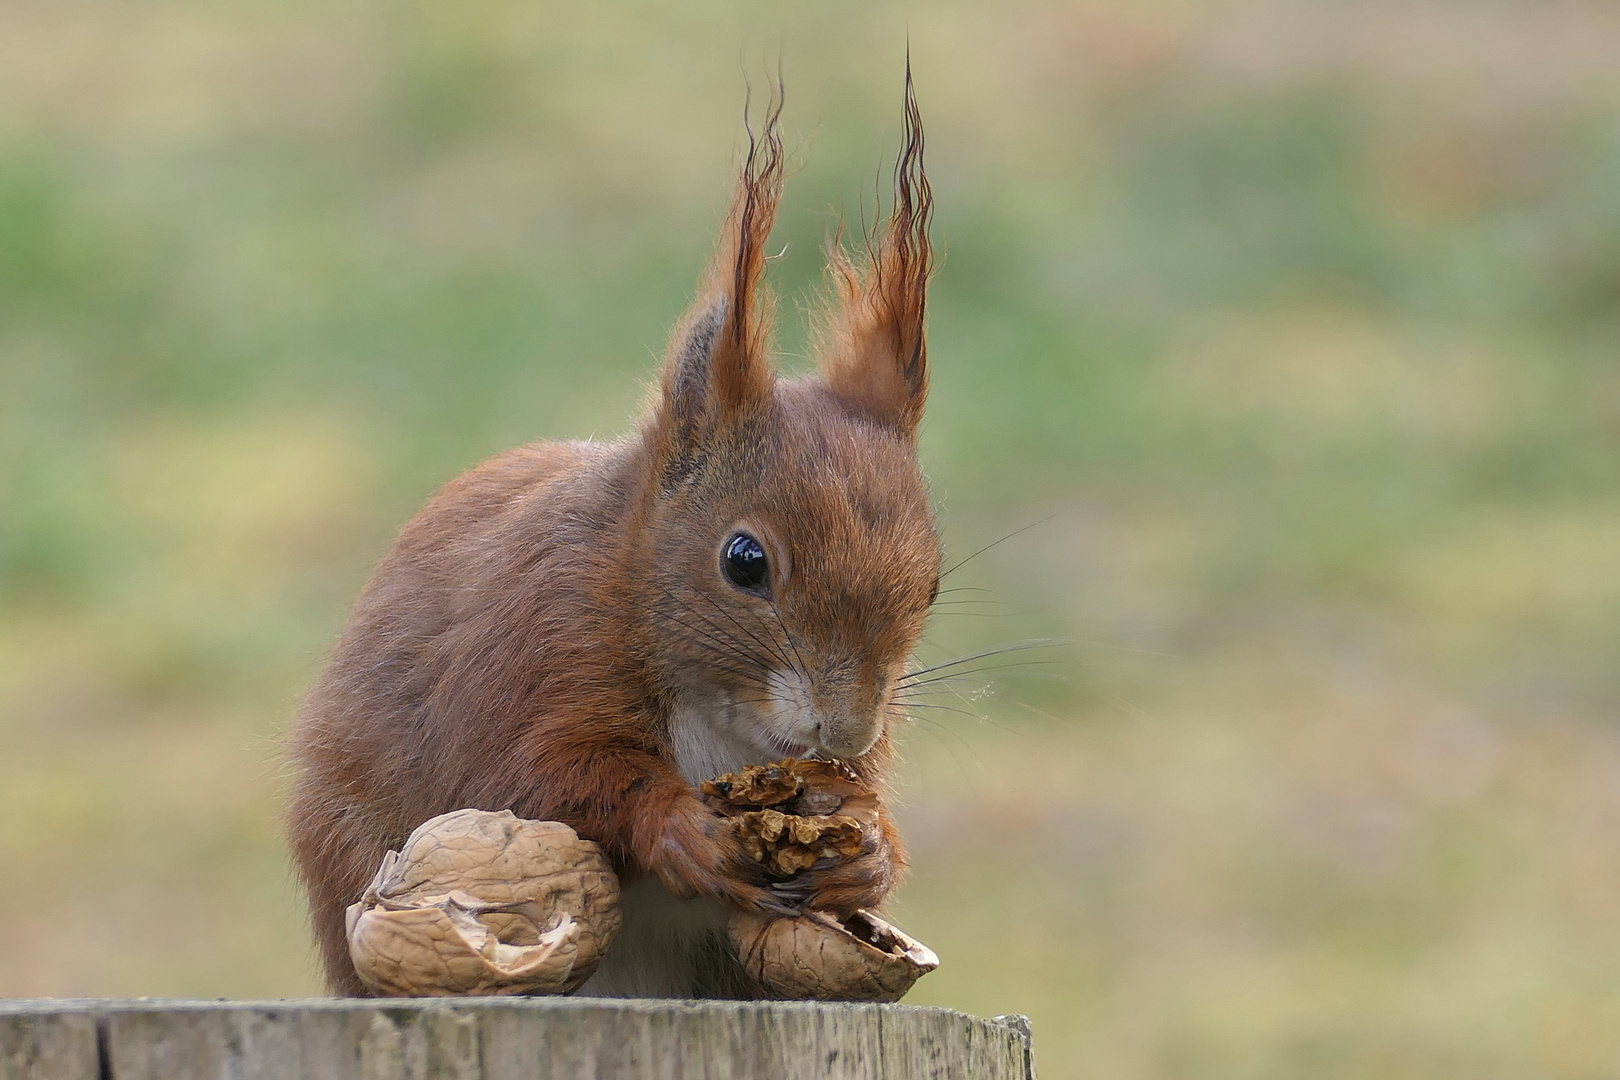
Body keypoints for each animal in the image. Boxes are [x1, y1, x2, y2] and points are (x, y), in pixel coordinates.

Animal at [288, 76, 939, 1003]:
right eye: (744, 562)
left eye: (932, 584)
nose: (845, 731)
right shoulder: (534, 649)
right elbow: (537, 779)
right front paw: (677, 828)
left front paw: (870, 849)